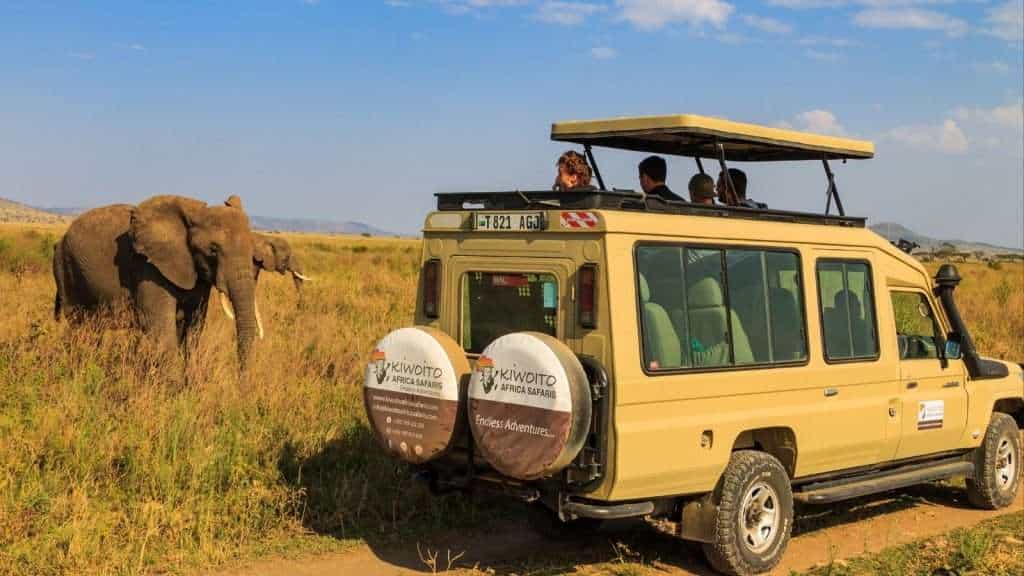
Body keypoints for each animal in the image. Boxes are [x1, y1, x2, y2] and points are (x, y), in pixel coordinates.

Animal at [52, 195, 261, 364]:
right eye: (213, 250)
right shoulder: (148, 268)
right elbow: (161, 330)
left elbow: (193, 329)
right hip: (66, 269)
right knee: (81, 326)